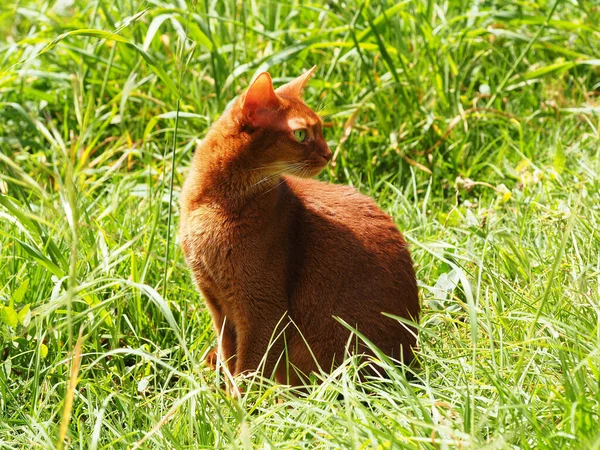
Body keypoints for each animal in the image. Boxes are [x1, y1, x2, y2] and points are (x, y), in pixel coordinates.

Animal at [180, 67, 420, 386]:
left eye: (320, 131)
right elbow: (230, 359)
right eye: (301, 134)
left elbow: (249, 369)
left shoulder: (264, 310)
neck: (213, 204)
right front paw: (222, 394)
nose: (329, 153)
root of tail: (410, 366)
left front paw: (242, 400)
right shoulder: (216, 303)